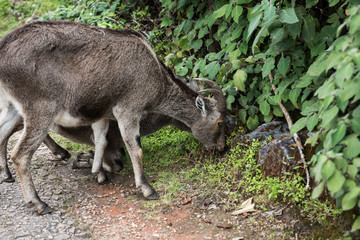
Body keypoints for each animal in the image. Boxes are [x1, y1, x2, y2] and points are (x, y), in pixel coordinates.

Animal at [0, 21, 226, 214]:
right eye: (220, 122)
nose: (221, 147)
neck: (156, 78)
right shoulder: (129, 108)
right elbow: (134, 147)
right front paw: (146, 188)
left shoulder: (102, 114)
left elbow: (101, 140)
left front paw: (97, 171)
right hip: (40, 108)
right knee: (20, 154)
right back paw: (39, 202)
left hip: (12, 107)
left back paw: (9, 176)